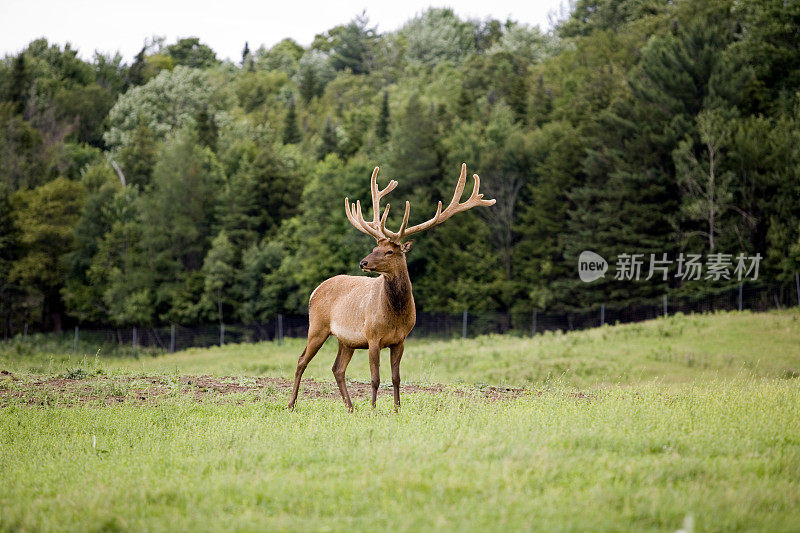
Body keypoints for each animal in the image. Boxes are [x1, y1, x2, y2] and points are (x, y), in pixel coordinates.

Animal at [288, 162, 494, 412]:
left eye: (388, 251)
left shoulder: (401, 340)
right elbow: (375, 378)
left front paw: (397, 409)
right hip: (317, 326)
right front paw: (374, 409)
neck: (394, 315)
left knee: (337, 368)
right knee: (301, 360)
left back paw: (350, 407)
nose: (363, 262)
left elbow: (396, 377)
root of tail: (314, 290)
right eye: (374, 247)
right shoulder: (372, 336)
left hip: (346, 340)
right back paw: (291, 404)